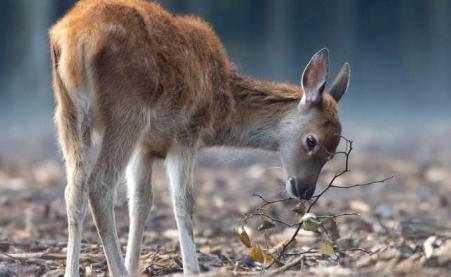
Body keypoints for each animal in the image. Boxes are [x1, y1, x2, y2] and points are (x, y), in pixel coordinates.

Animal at [50, 0, 354, 276]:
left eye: (333, 150)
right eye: (312, 141)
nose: (304, 190)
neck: (222, 108)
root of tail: (74, 38)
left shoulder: (145, 146)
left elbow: (140, 202)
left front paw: (134, 265)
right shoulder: (186, 133)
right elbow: (183, 202)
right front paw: (190, 269)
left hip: (68, 114)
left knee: (73, 190)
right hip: (126, 113)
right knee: (100, 185)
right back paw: (117, 271)